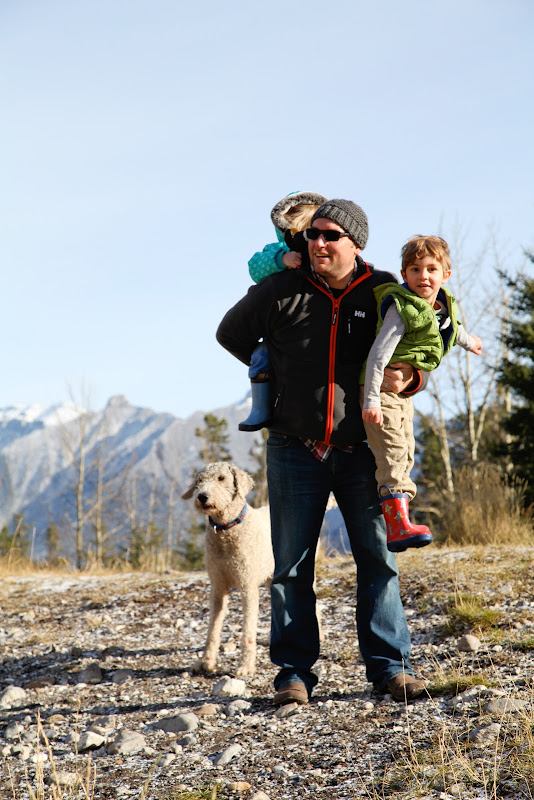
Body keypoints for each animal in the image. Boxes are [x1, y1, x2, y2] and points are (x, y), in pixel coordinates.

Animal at [181, 462, 274, 677]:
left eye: (221, 478)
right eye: (200, 480)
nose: (202, 496)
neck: (226, 530)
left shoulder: (248, 586)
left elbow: (248, 630)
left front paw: (245, 666)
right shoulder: (217, 586)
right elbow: (212, 630)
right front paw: (205, 662)